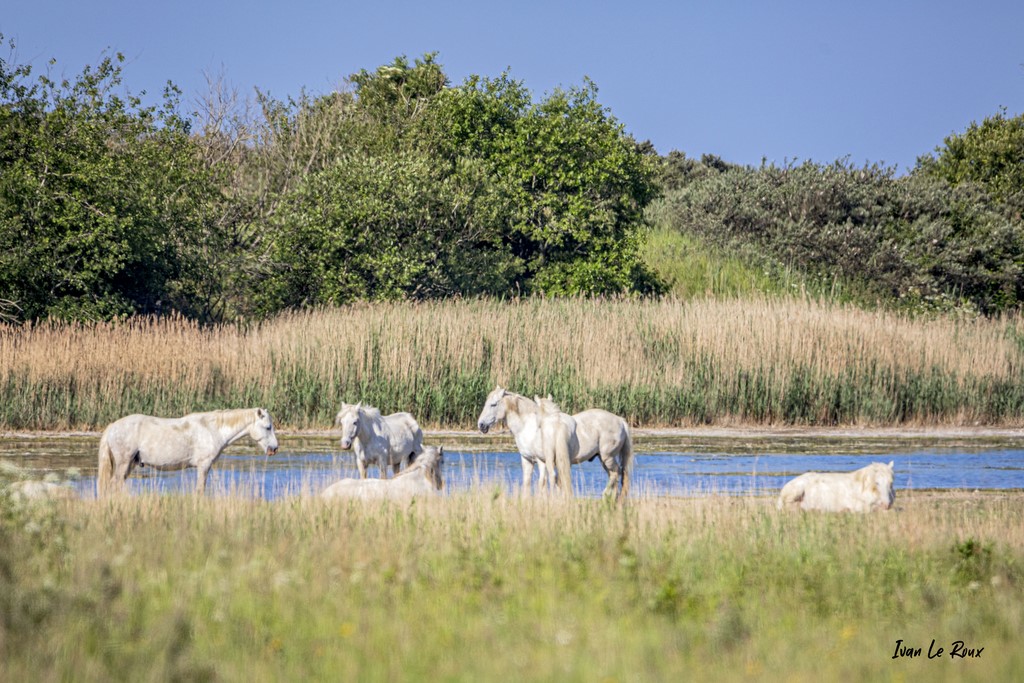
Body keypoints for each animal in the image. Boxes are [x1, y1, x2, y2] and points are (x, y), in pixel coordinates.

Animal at [96, 405, 280, 497]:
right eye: (268, 427)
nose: (274, 449)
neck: (212, 429)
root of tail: (112, 427)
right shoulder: (204, 466)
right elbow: (200, 490)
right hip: (123, 463)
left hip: (129, 465)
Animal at [477, 385, 634, 501]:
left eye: (493, 404)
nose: (481, 425)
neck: (530, 426)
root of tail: (620, 420)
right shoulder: (527, 460)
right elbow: (528, 482)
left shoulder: (541, 461)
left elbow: (543, 481)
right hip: (602, 458)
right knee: (615, 475)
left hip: (607, 457)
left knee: (616, 473)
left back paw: (606, 495)